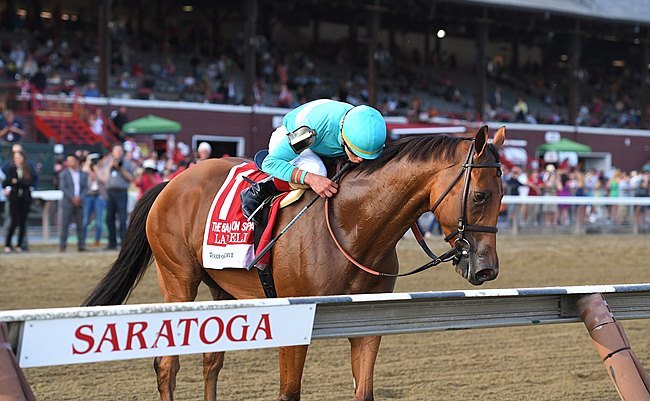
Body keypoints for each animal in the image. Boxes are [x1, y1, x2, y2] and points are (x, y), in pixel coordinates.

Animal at [82, 123, 506, 398]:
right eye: (480, 195)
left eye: (503, 196)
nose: (487, 268)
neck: (354, 226)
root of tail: (171, 182)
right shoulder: (294, 321)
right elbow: (289, 392)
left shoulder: (369, 325)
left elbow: (364, 391)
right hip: (178, 280)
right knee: (167, 366)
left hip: (222, 288)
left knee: (211, 363)